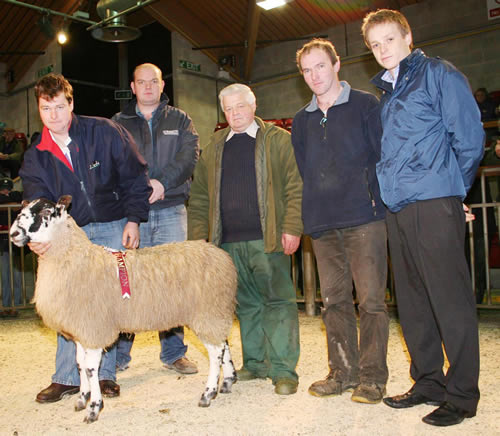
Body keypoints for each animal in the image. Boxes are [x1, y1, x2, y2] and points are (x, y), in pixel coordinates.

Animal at [10, 197, 238, 422]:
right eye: (23, 208)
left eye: (46, 212)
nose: (13, 234)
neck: (77, 259)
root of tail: (223, 257)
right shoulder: (82, 331)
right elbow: (80, 365)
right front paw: (82, 399)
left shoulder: (95, 329)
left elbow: (91, 369)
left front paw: (94, 408)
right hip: (215, 312)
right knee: (223, 344)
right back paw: (227, 381)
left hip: (207, 312)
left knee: (215, 353)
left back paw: (208, 394)